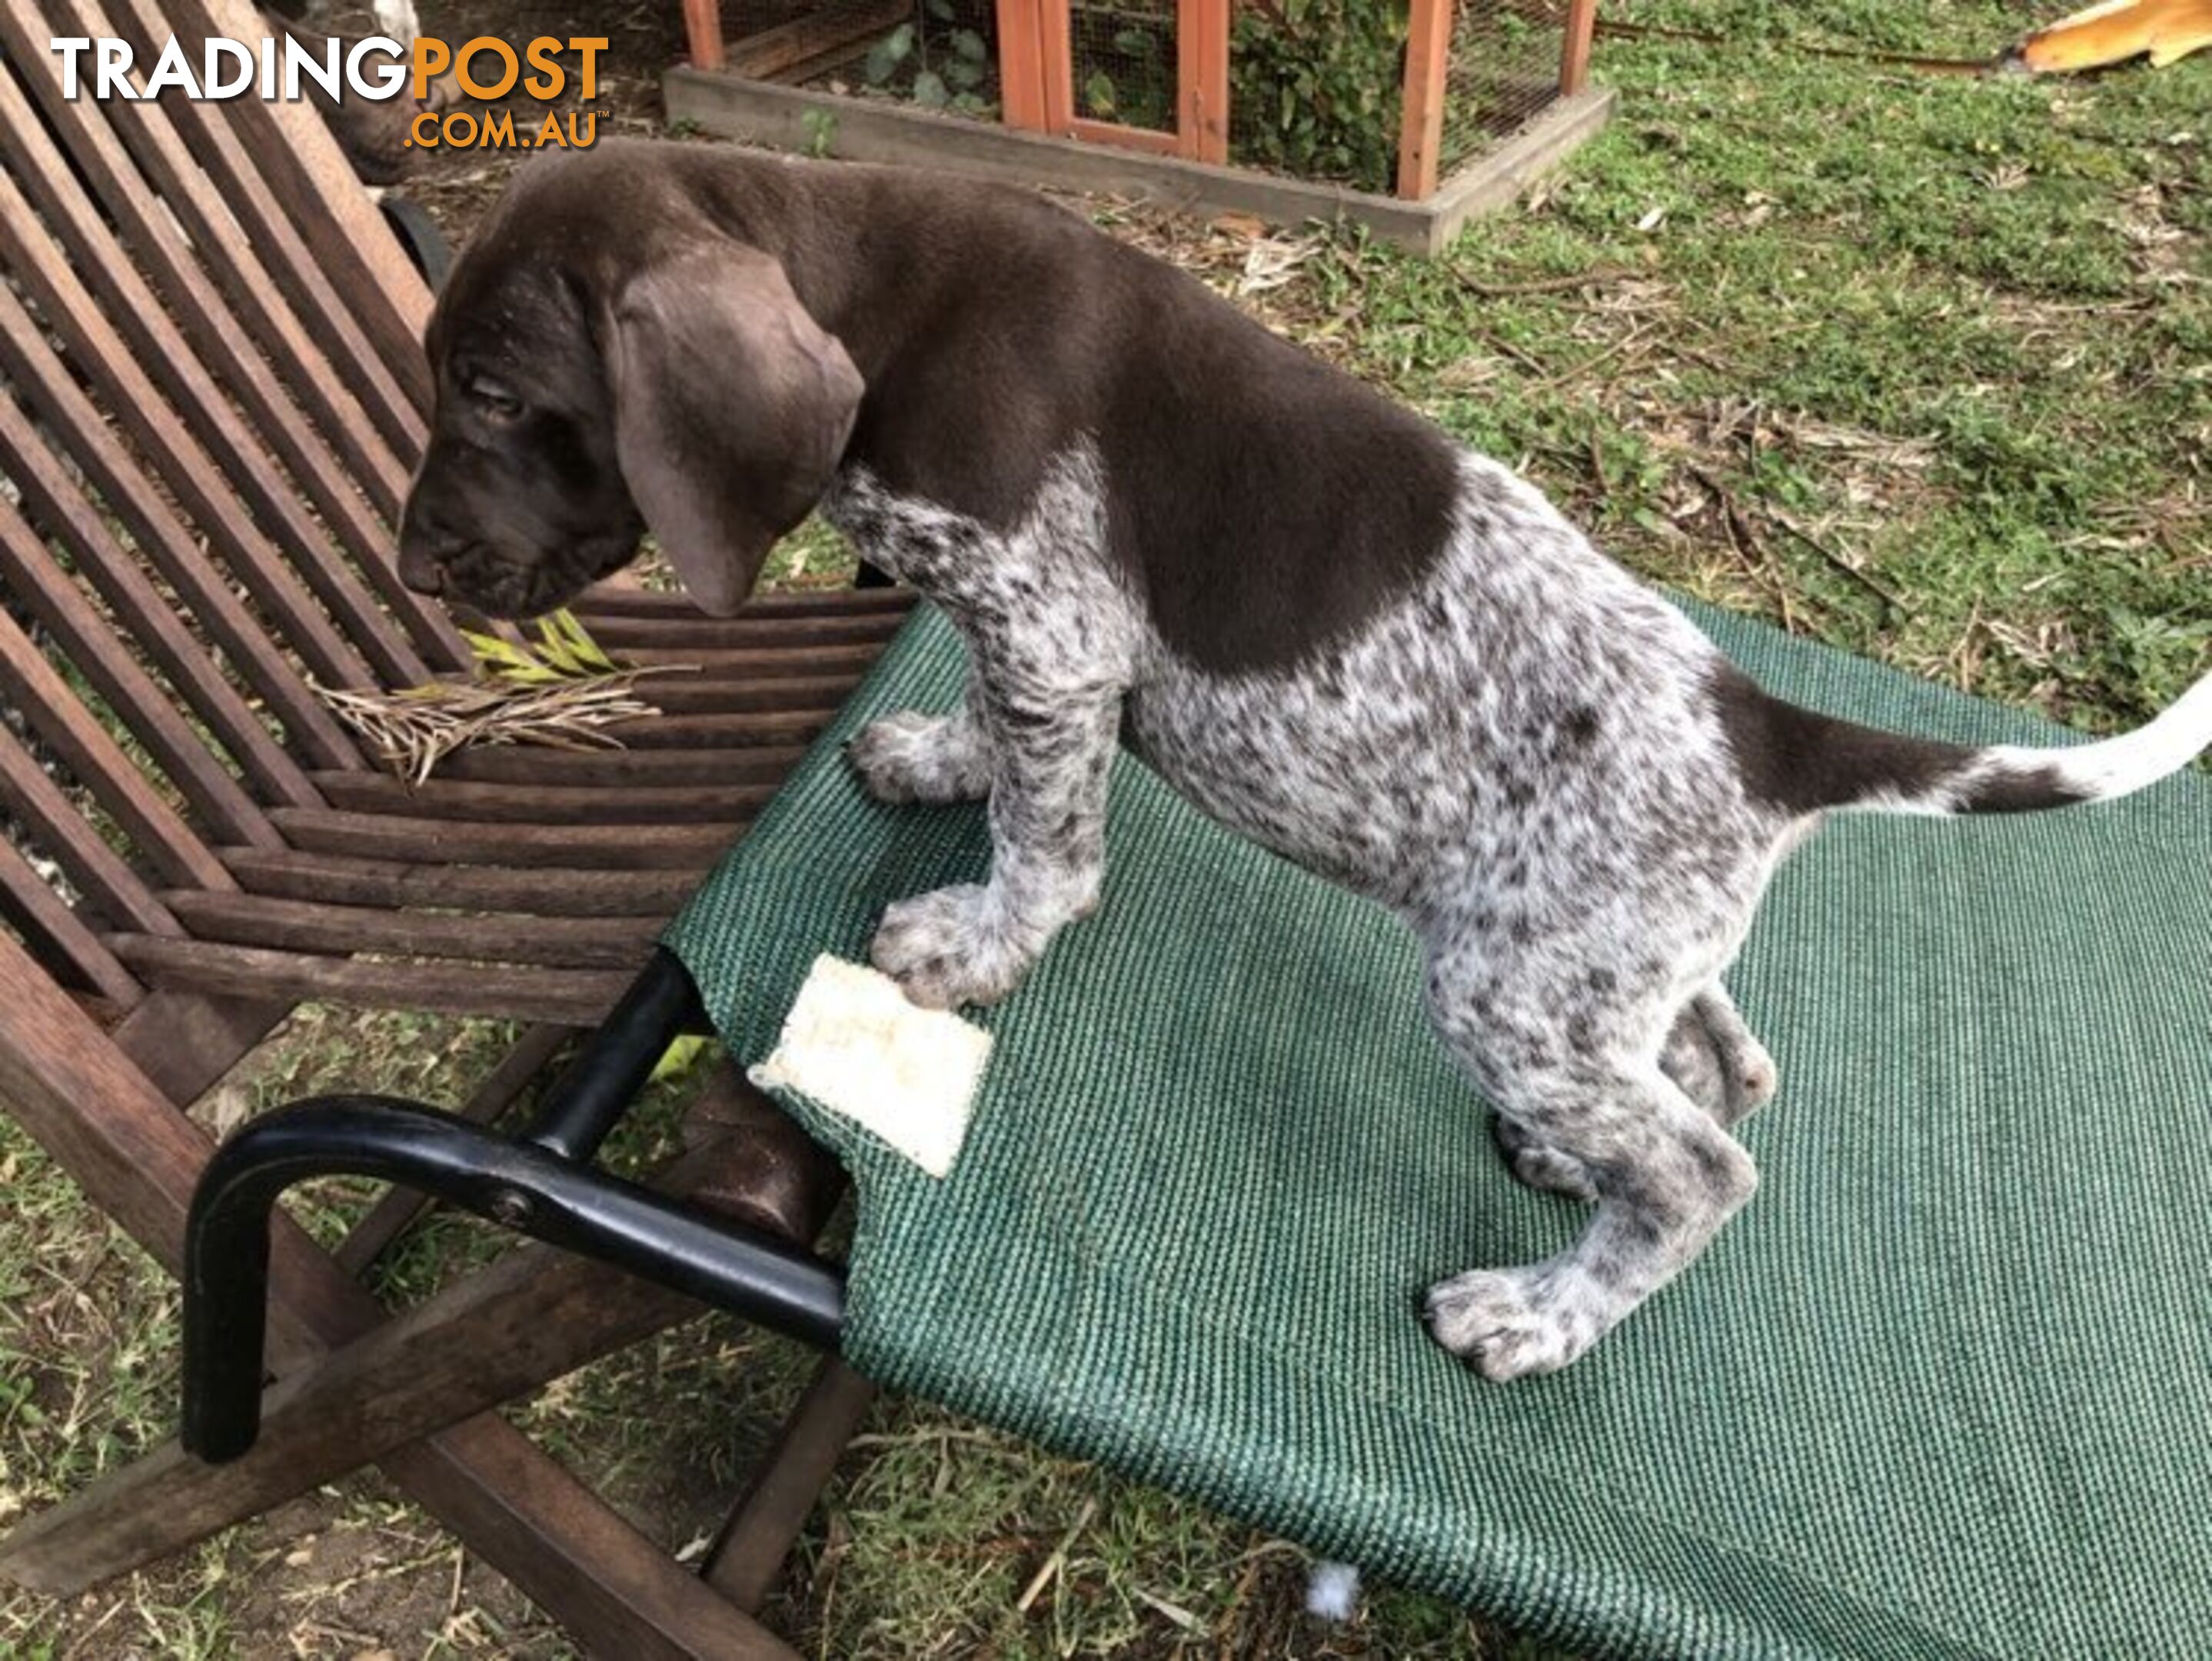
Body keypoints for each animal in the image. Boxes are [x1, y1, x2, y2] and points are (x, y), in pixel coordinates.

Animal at [402, 142, 2212, 1380]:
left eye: (492, 391)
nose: (416, 568)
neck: (879, 303)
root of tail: (1764, 725)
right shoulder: (1029, 644)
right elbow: (1001, 750)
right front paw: (942, 762)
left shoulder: (1055, 630)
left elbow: (1048, 841)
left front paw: (979, 942)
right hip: (1603, 971)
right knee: (1723, 1061)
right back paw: (1568, 1164)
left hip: (1508, 983)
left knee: (1706, 1169)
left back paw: (1539, 1314)